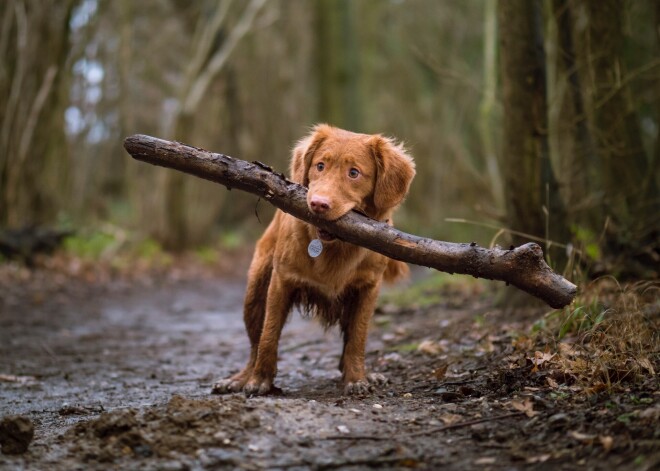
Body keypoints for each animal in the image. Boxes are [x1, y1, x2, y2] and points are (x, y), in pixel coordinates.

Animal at [214, 123, 416, 396]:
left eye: (354, 173)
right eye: (320, 166)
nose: (318, 204)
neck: (335, 247)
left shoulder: (368, 288)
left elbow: (357, 338)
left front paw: (356, 378)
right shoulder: (281, 281)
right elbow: (269, 335)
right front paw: (259, 380)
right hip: (255, 292)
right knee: (255, 343)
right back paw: (241, 378)